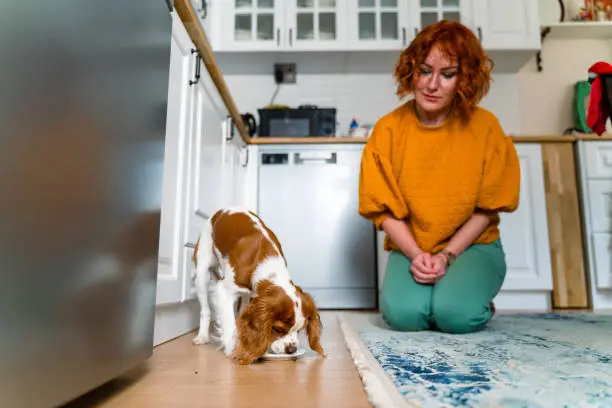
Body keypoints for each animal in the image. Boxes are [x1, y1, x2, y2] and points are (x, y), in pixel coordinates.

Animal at [191, 207, 326, 364]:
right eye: (279, 329)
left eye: (299, 329)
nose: (291, 350)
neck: (263, 258)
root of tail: (222, 210)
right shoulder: (225, 290)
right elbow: (230, 324)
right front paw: (232, 350)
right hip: (202, 270)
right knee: (205, 309)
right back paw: (202, 336)